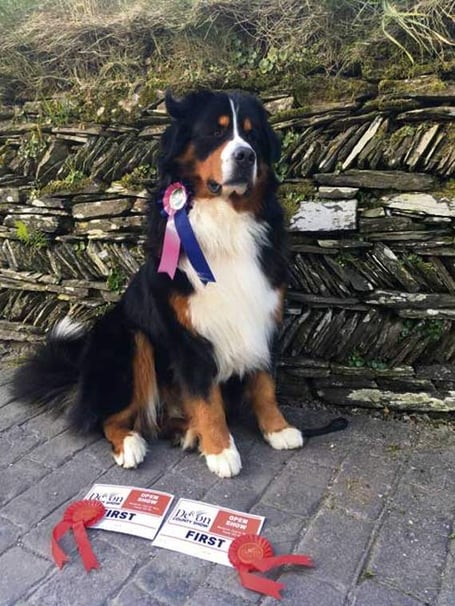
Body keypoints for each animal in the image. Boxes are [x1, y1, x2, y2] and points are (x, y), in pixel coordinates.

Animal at [13, 90, 341, 478]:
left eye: (252, 134)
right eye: (215, 132)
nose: (245, 155)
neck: (225, 222)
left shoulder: (261, 315)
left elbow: (263, 383)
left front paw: (278, 429)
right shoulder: (187, 333)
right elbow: (206, 398)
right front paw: (220, 449)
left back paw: (185, 431)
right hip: (129, 338)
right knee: (110, 418)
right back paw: (132, 444)